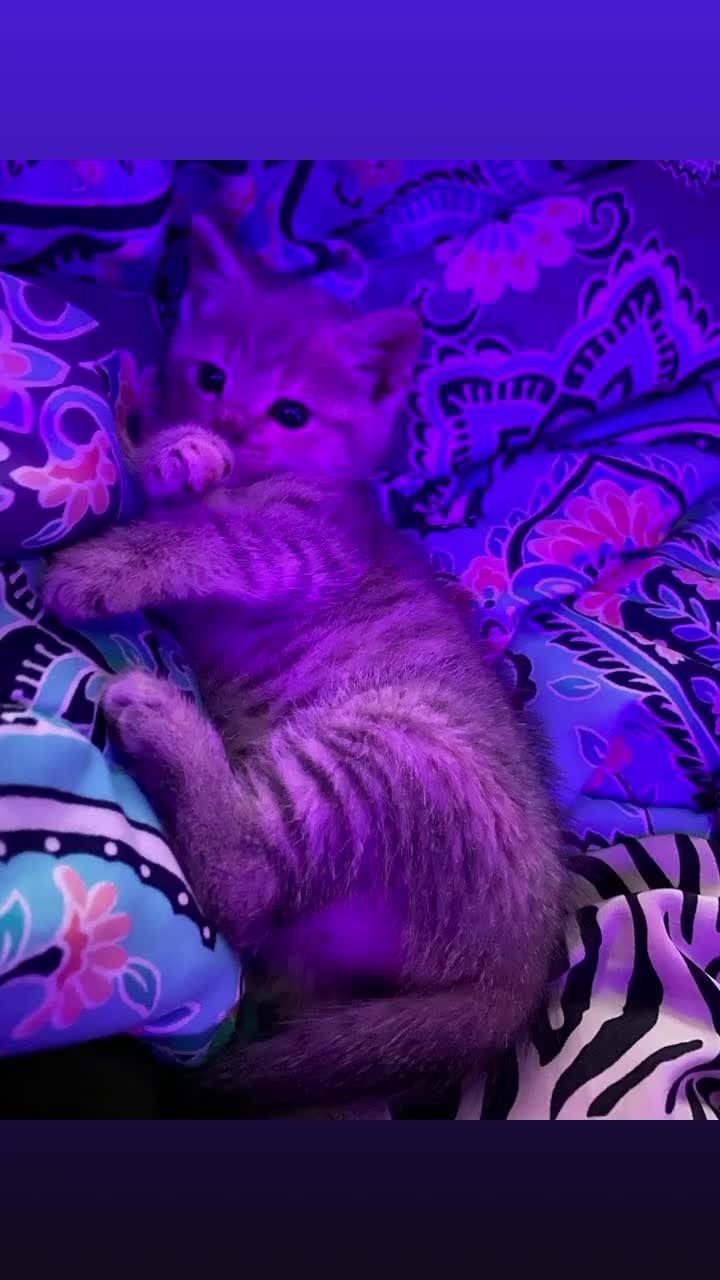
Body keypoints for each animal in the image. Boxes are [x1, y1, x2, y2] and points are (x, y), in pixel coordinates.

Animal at [41, 216, 566, 1109]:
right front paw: (175, 448)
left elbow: (203, 537)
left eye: (290, 411)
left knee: (247, 885)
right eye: (211, 374)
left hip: (390, 749)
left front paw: (105, 558)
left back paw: (162, 720)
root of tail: (522, 975)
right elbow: (182, 502)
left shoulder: (302, 550)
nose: (233, 426)